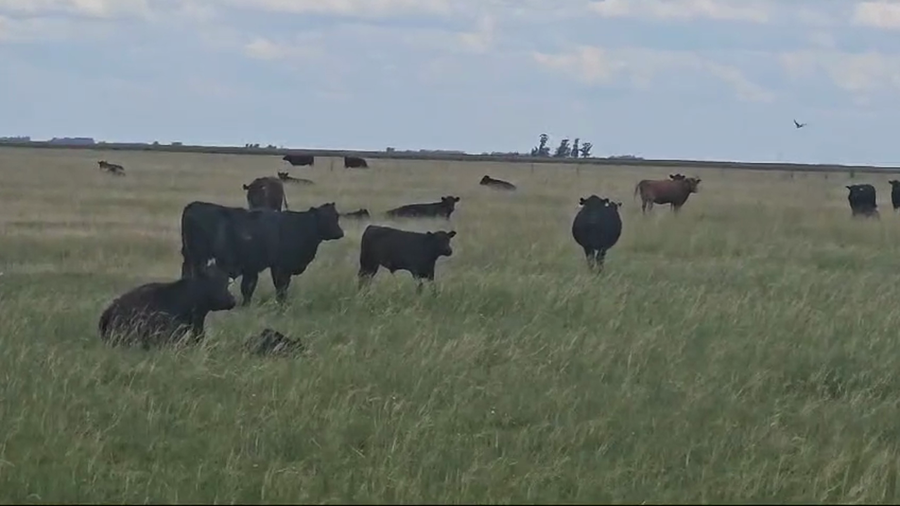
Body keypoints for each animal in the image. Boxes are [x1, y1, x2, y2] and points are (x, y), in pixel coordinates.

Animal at [179, 201, 344, 305]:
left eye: (336, 216)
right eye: (325, 217)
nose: (340, 233)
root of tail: (192, 206)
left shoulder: (253, 268)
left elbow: (248, 288)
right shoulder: (280, 267)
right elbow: (281, 287)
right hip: (198, 259)